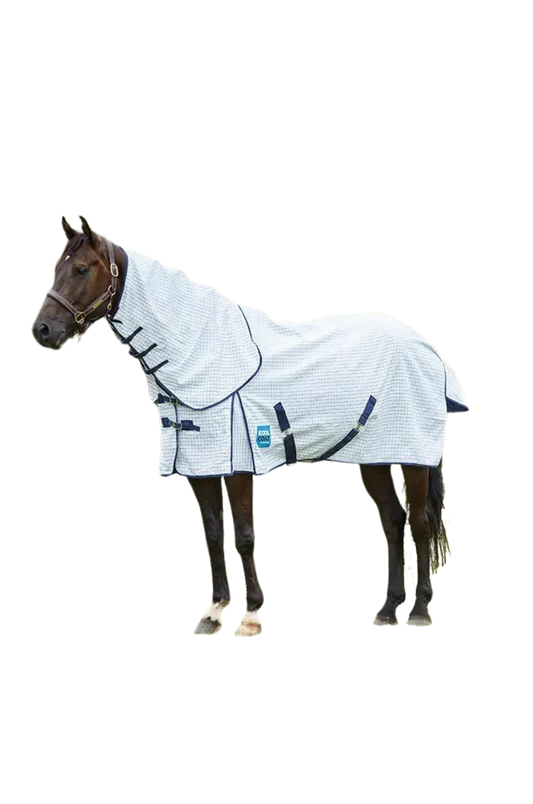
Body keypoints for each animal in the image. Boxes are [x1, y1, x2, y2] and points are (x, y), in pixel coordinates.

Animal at [30, 212, 469, 635]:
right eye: (54, 268)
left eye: (81, 269)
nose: (42, 331)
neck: (201, 354)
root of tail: (427, 348)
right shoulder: (200, 466)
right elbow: (212, 534)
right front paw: (213, 612)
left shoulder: (238, 465)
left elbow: (242, 535)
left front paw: (251, 615)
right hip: (373, 458)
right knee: (393, 523)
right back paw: (387, 610)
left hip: (412, 458)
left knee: (420, 523)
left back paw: (419, 613)